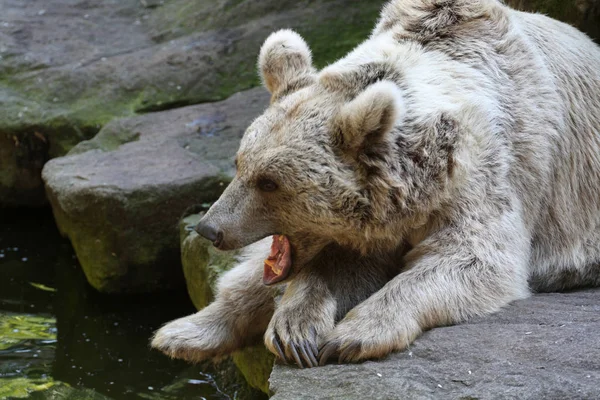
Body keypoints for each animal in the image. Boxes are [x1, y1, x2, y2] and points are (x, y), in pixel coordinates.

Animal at [152, 0, 600, 368]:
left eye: (269, 182)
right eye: (239, 163)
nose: (210, 228)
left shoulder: (484, 173)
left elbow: (472, 258)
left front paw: (353, 334)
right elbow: (336, 266)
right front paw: (297, 328)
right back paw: (183, 333)